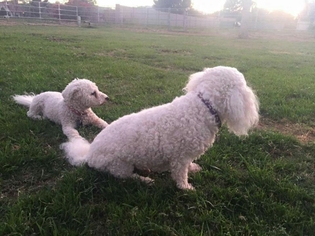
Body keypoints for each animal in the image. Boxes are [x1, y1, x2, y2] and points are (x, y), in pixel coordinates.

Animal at [61, 66, 260, 190]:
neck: (203, 107)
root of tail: (89, 155)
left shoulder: (185, 156)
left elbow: (189, 166)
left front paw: (193, 168)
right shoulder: (180, 157)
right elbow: (180, 175)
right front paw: (186, 188)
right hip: (119, 165)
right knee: (126, 177)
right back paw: (145, 180)